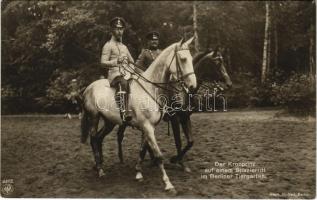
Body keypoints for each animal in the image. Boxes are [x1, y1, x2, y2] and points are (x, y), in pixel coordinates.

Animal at [80, 37, 196, 192]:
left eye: (191, 59)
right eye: (183, 59)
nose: (193, 86)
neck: (151, 88)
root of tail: (88, 88)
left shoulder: (149, 127)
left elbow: (142, 150)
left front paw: (138, 172)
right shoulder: (147, 127)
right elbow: (158, 155)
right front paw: (168, 183)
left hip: (110, 122)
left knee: (99, 138)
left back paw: (99, 165)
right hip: (94, 117)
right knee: (93, 138)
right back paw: (100, 169)